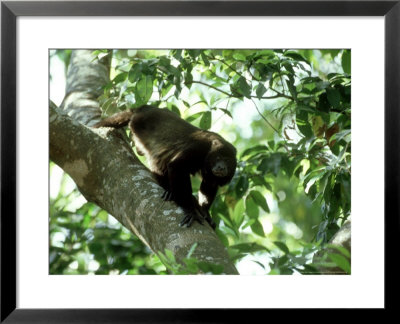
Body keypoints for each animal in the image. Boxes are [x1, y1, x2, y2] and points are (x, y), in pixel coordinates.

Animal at [94, 105, 238, 228]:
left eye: (228, 161)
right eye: (218, 158)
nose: (221, 167)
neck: (210, 151)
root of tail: (143, 108)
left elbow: (210, 183)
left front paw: (205, 212)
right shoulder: (198, 148)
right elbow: (176, 166)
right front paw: (191, 210)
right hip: (138, 126)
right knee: (156, 158)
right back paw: (169, 190)